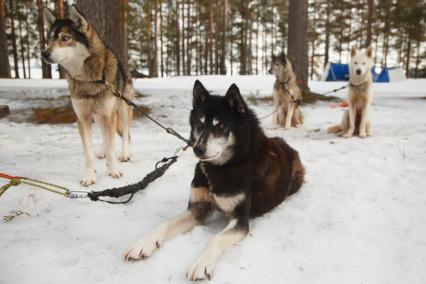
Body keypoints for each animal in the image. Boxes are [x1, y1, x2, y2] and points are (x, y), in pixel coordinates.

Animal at [42, 5, 133, 186]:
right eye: (49, 40)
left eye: (66, 38)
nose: (44, 53)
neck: (89, 79)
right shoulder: (83, 119)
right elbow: (89, 154)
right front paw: (89, 177)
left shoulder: (108, 115)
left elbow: (112, 146)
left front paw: (113, 171)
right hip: (98, 117)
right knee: (106, 136)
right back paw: (103, 152)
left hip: (122, 111)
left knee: (124, 133)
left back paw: (124, 154)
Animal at [124, 81, 306, 280]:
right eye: (199, 124)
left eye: (222, 125)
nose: (198, 149)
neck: (222, 167)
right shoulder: (198, 208)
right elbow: (166, 223)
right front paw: (144, 244)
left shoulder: (240, 219)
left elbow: (215, 239)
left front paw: (201, 264)